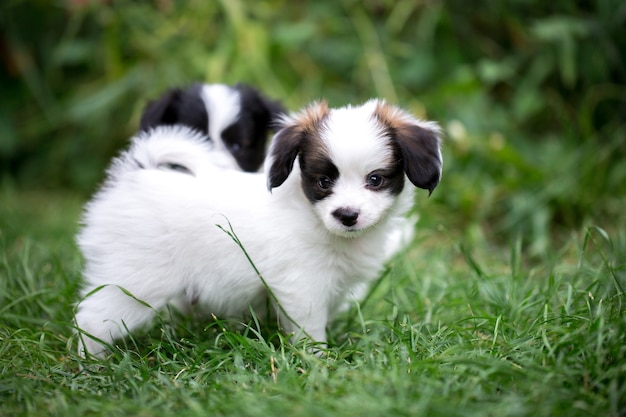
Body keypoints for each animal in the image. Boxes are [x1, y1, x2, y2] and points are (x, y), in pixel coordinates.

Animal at [75, 99, 442, 356]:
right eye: (323, 182)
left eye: (376, 180)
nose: (347, 214)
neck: (311, 217)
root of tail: (134, 177)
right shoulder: (301, 285)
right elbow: (310, 327)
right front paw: (317, 360)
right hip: (135, 281)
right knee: (93, 317)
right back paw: (91, 361)